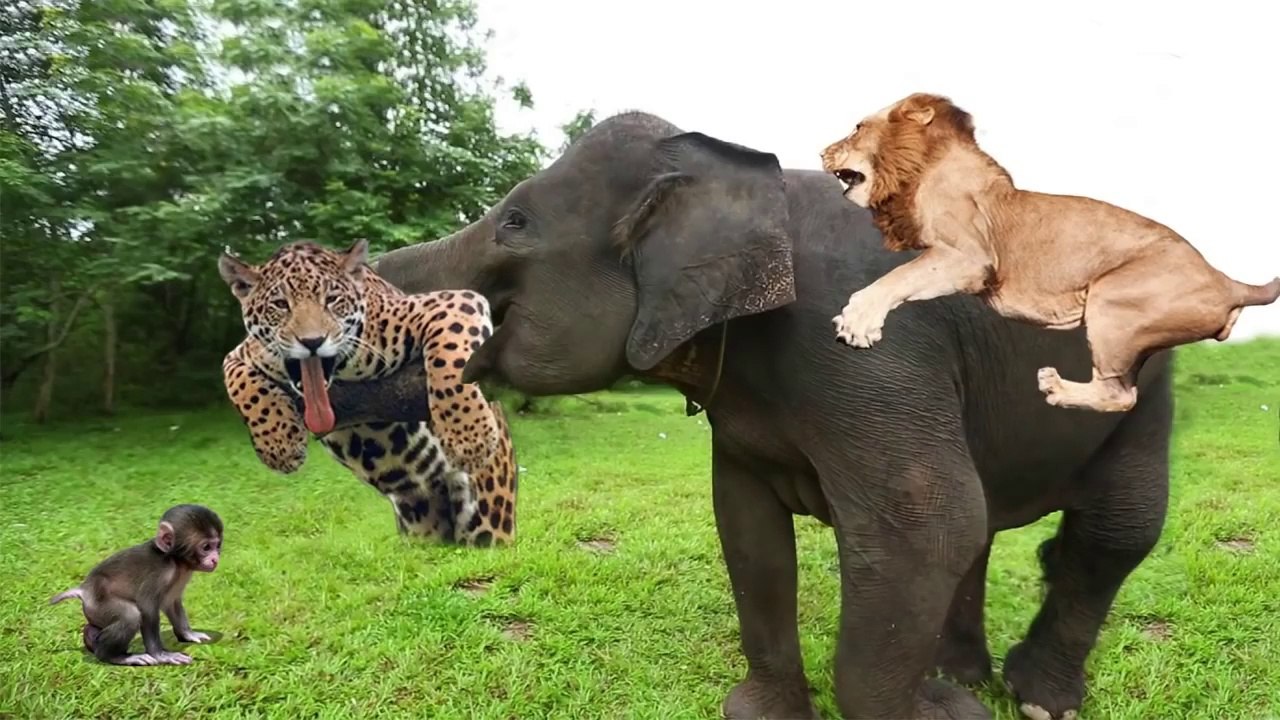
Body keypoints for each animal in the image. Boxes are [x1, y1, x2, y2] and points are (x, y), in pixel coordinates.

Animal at [50, 504, 223, 666]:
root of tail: (84, 590)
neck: (174, 560)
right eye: (206, 547)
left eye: (217, 546)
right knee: (130, 615)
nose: (215, 559)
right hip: (98, 603)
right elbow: (147, 609)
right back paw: (114, 656)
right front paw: (161, 655)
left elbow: (171, 603)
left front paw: (188, 634)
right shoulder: (159, 574)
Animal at [326, 111, 1172, 720]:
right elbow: (746, 525)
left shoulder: (870, 347)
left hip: (1142, 377)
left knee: (1116, 526)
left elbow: (924, 519)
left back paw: (1032, 700)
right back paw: (956, 672)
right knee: (990, 530)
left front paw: (942, 712)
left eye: (513, 222)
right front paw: (775, 711)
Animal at [819, 92, 1280, 413]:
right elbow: (898, 276)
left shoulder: (969, 258)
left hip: (1112, 300)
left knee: (1119, 395)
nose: (822, 152)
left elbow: (894, 279)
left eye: (857, 127)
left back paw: (1055, 387)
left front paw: (856, 323)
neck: (919, 171)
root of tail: (1227, 282)